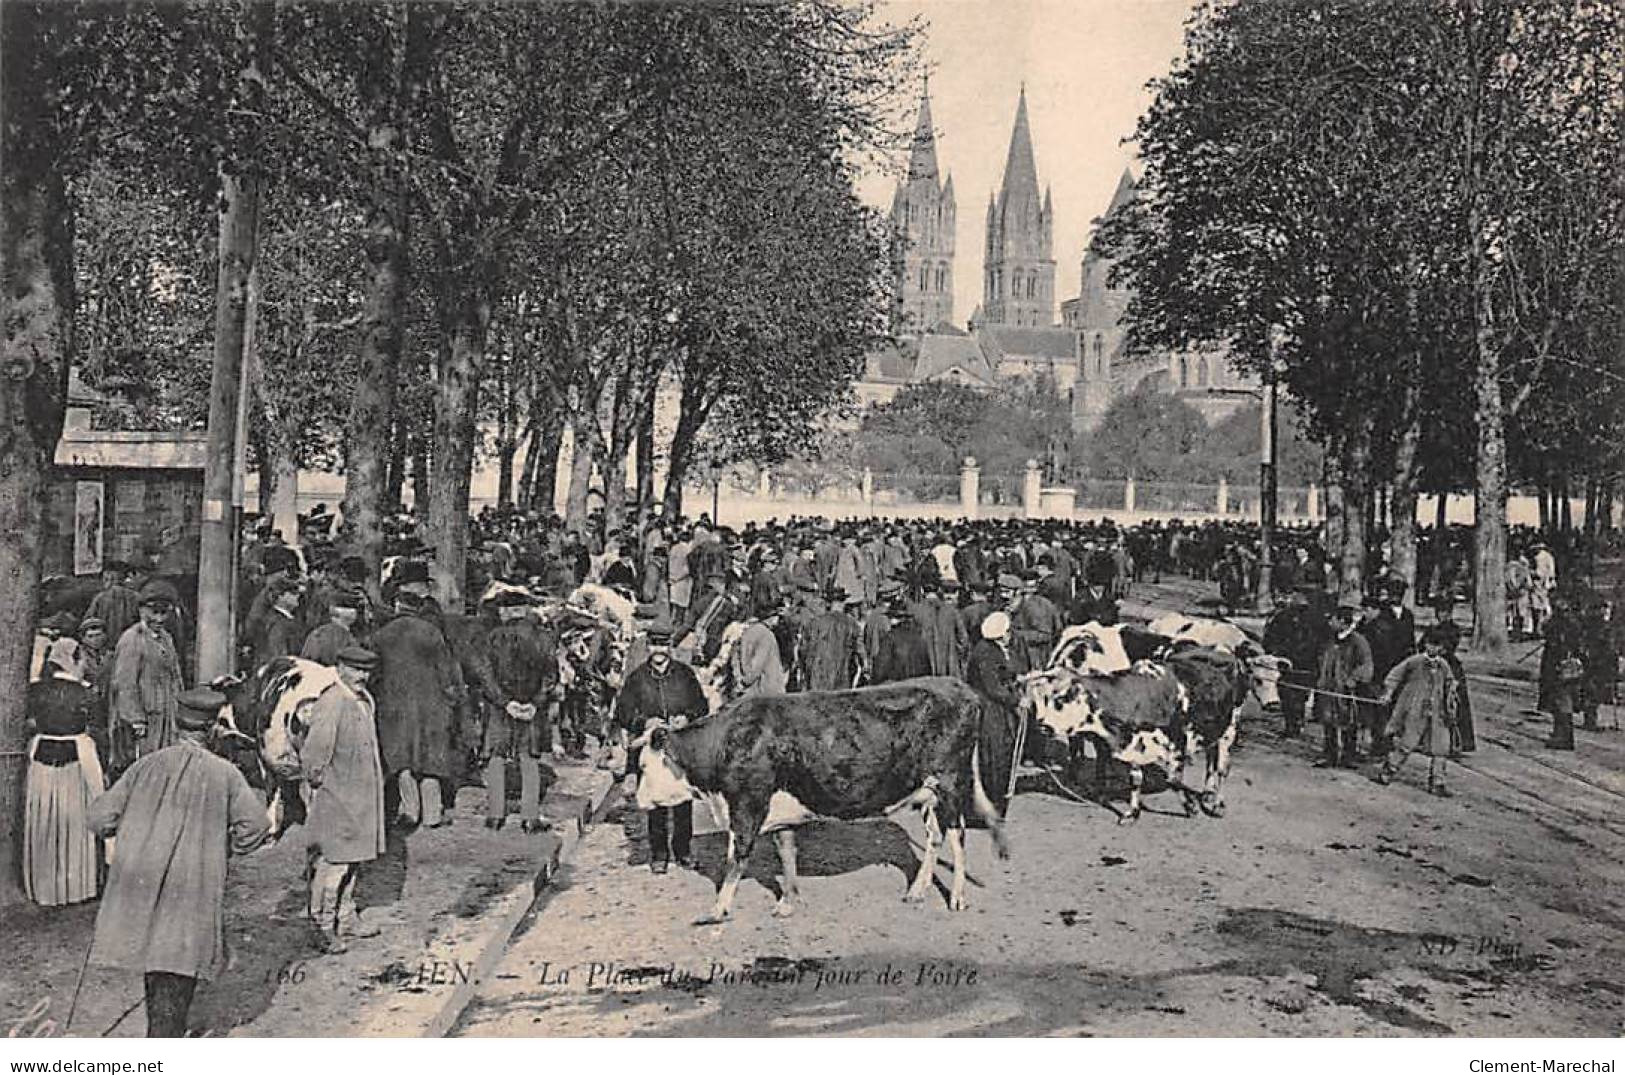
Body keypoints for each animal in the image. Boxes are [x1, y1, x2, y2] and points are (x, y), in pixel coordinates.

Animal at [656, 682, 1007, 928]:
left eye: (646, 766)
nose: (641, 798)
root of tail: (959, 686)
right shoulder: (778, 813)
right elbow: (787, 852)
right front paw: (788, 903)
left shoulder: (746, 807)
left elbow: (735, 860)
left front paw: (716, 911)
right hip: (927, 793)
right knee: (935, 835)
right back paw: (916, 891)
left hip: (950, 782)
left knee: (957, 837)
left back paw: (957, 897)